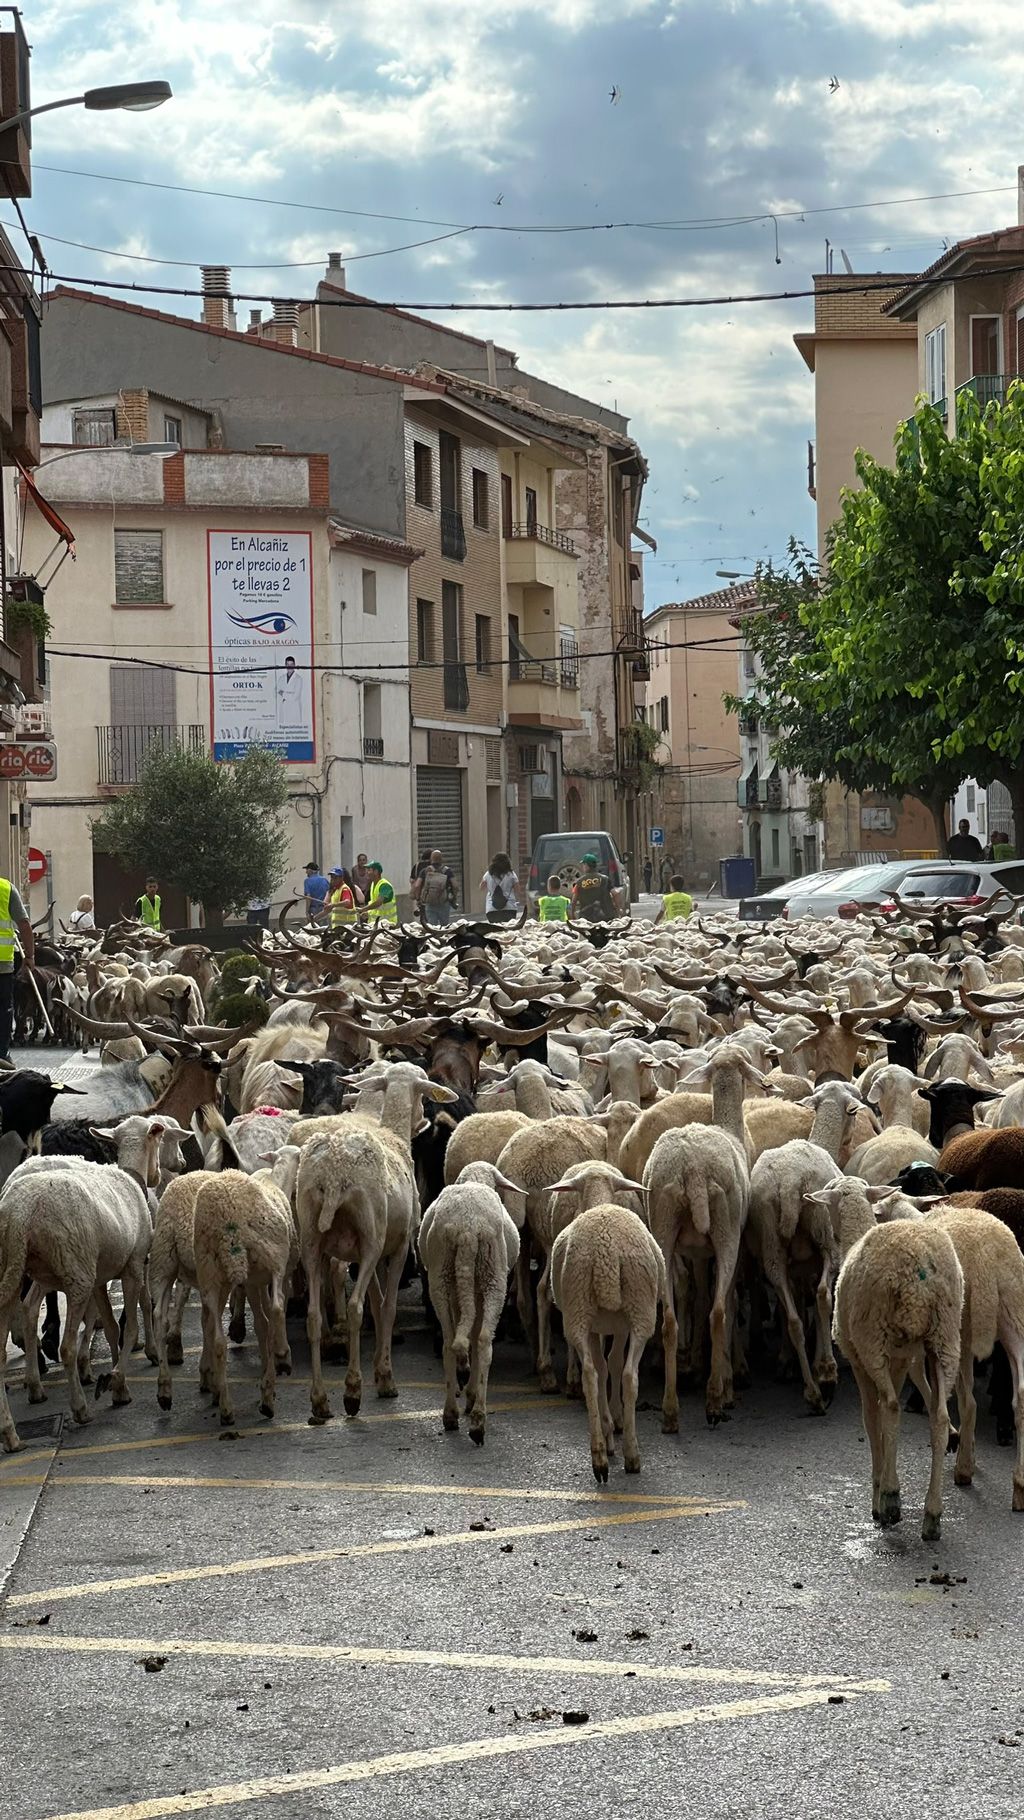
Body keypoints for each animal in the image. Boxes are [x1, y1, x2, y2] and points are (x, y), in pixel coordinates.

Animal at [416, 1161, 522, 1444]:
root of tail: (467, 1228)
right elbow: (474, 1334)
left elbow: (467, 1333)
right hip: (492, 1274)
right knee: (483, 1340)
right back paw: (476, 1418)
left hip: (444, 1273)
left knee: (451, 1340)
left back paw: (454, 1412)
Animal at [550, 1203, 667, 1480]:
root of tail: (606, 1250)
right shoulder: (620, 1327)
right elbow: (613, 1364)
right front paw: (615, 1422)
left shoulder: (597, 1328)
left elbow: (603, 1369)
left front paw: (609, 1428)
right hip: (640, 1310)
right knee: (629, 1376)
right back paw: (632, 1455)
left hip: (578, 1309)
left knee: (590, 1376)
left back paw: (599, 1457)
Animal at [813, 1176, 964, 1540]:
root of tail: (918, 1275)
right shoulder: (902, 1358)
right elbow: (885, 1415)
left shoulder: (859, 1358)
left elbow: (873, 1418)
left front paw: (879, 1491)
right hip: (945, 1337)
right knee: (938, 1417)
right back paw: (932, 1514)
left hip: (874, 1338)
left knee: (893, 1407)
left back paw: (891, 1499)